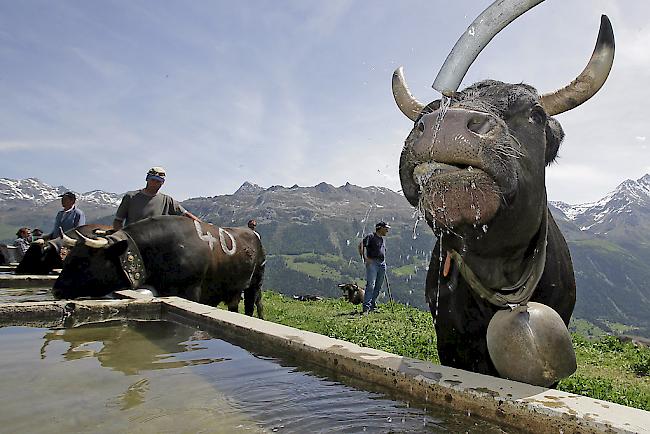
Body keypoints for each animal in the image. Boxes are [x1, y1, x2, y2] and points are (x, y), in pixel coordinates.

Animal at [50, 217, 264, 318]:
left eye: (83, 262)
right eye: (68, 259)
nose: (56, 290)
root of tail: (252, 232)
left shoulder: (191, 291)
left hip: (255, 283)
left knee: (253, 305)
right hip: (233, 289)